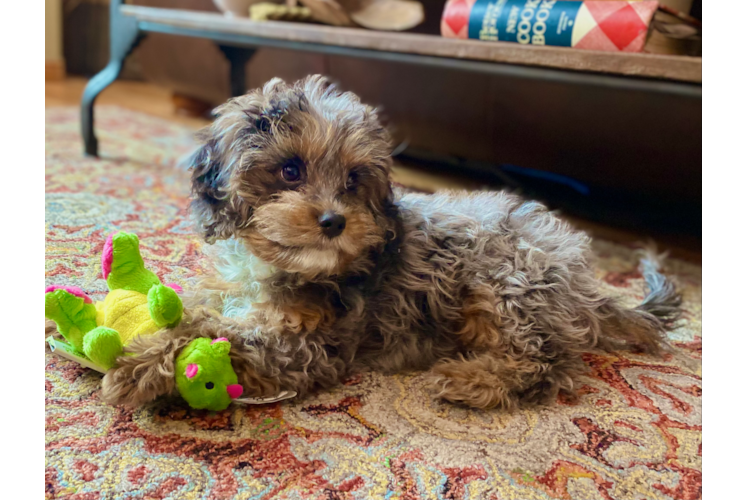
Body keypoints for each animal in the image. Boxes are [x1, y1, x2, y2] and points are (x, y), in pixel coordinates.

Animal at [102, 74, 680, 410]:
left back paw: (472, 382)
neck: (275, 265)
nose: (333, 221)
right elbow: (201, 315)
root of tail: (589, 287)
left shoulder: (309, 348)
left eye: (354, 179)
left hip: (511, 282)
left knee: (546, 364)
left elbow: (217, 334)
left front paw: (138, 365)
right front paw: (156, 339)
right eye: (290, 170)